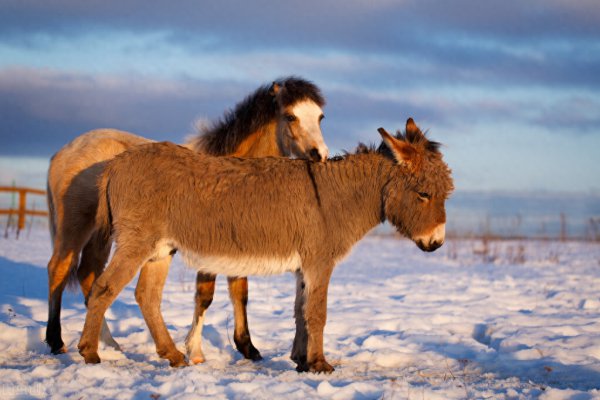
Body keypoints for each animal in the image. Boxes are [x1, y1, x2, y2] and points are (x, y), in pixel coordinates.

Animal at [45, 76, 328, 360]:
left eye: (320, 117)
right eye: (290, 116)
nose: (320, 155)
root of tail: (64, 151)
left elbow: (240, 292)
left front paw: (248, 347)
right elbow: (206, 295)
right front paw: (196, 351)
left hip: (102, 234)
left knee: (88, 272)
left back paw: (110, 344)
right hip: (75, 226)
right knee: (59, 269)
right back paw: (57, 341)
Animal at [78, 119, 454, 372]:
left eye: (446, 193)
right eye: (424, 194)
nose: (436, 244)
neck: (337, 196)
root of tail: (116, 163)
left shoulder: (305, 266)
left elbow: (301, 312)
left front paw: (301, 360)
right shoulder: (319, 261)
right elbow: (318, 312)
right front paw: (320, 364)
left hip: (160, 250)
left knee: (147, 297)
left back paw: (173, 356)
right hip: (136, 242)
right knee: (104, 288)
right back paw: (90, 352)